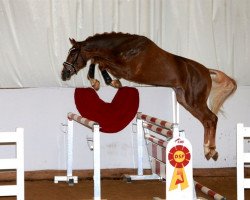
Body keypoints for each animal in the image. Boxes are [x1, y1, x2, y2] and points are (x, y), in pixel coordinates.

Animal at [60, 32, 236, 161]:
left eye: (73, 54)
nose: (64, 74)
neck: (123, 48)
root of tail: (206, 70)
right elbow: (97, 61)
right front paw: (100, 82)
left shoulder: (125, 70)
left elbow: (100, 62)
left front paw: (108, 82)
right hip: (185, 101)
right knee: (207, 121)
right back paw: (210, 151)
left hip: (195, 100)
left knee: (211, 119)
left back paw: (210, 151)